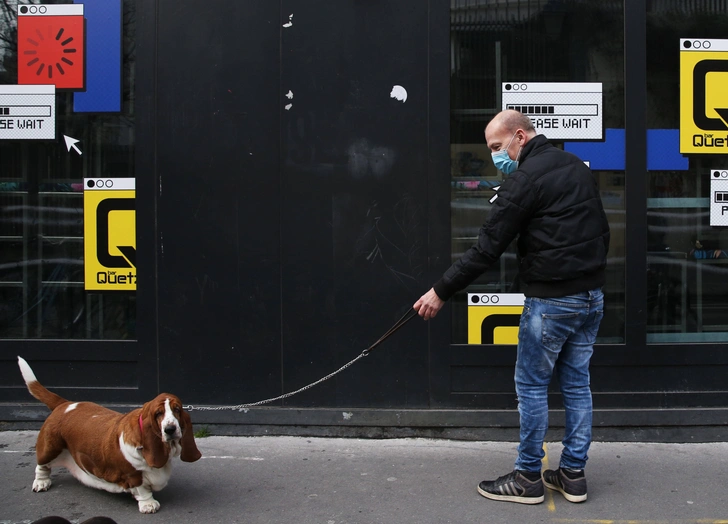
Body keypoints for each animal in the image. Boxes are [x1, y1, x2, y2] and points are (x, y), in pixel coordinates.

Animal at [17, 354, 202, 512]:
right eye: (158, 413)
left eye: (177, 409)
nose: (170, 429)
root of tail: (64, 404)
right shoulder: (133, 474)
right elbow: (142, 489)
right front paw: (148, 504)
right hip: (50, 447)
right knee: (42, 465)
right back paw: (41, 483)